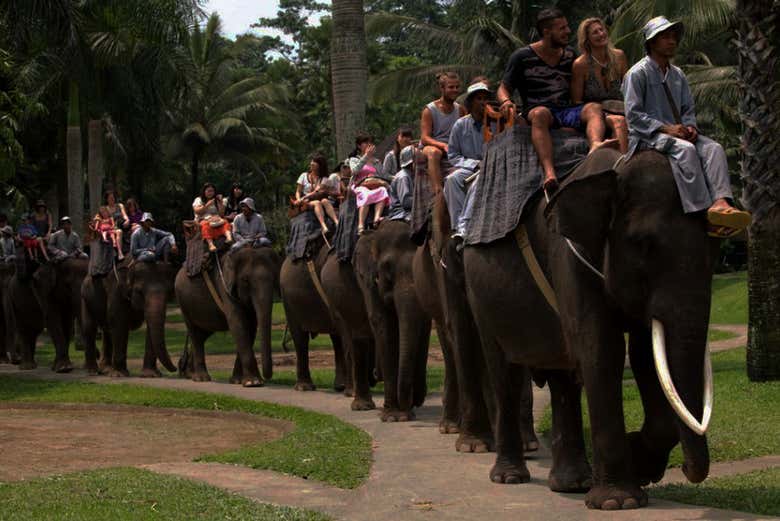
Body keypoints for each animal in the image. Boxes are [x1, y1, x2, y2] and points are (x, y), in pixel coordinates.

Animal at [175, 245, 280, 386]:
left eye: (274, 279)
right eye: (246, 280)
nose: (267, 377)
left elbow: (251, 326)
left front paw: (237, 381)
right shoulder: (224, 286)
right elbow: (238, 323)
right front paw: (253, 382)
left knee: (202, 334)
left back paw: (189, 373)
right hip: (183, 303)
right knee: (195, 333)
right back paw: (201, 378)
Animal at [354, 220, 432, 422]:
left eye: (419, 267)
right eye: (387, 270)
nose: (416, 400)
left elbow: (424, 324)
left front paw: (405, 413)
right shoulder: (369, 283)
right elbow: (384, 324)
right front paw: (393, 417)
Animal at [463, 148, 715, 509]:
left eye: (713, 242)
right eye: (642, 244)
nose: (686, 469)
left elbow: (644, 355)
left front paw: (639, 465)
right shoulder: (569, 257)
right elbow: (601, 350)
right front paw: (619, 502)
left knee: (564, 378)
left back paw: (572, 484)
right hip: (480, 297)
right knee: (504, 373)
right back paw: (510, 477)